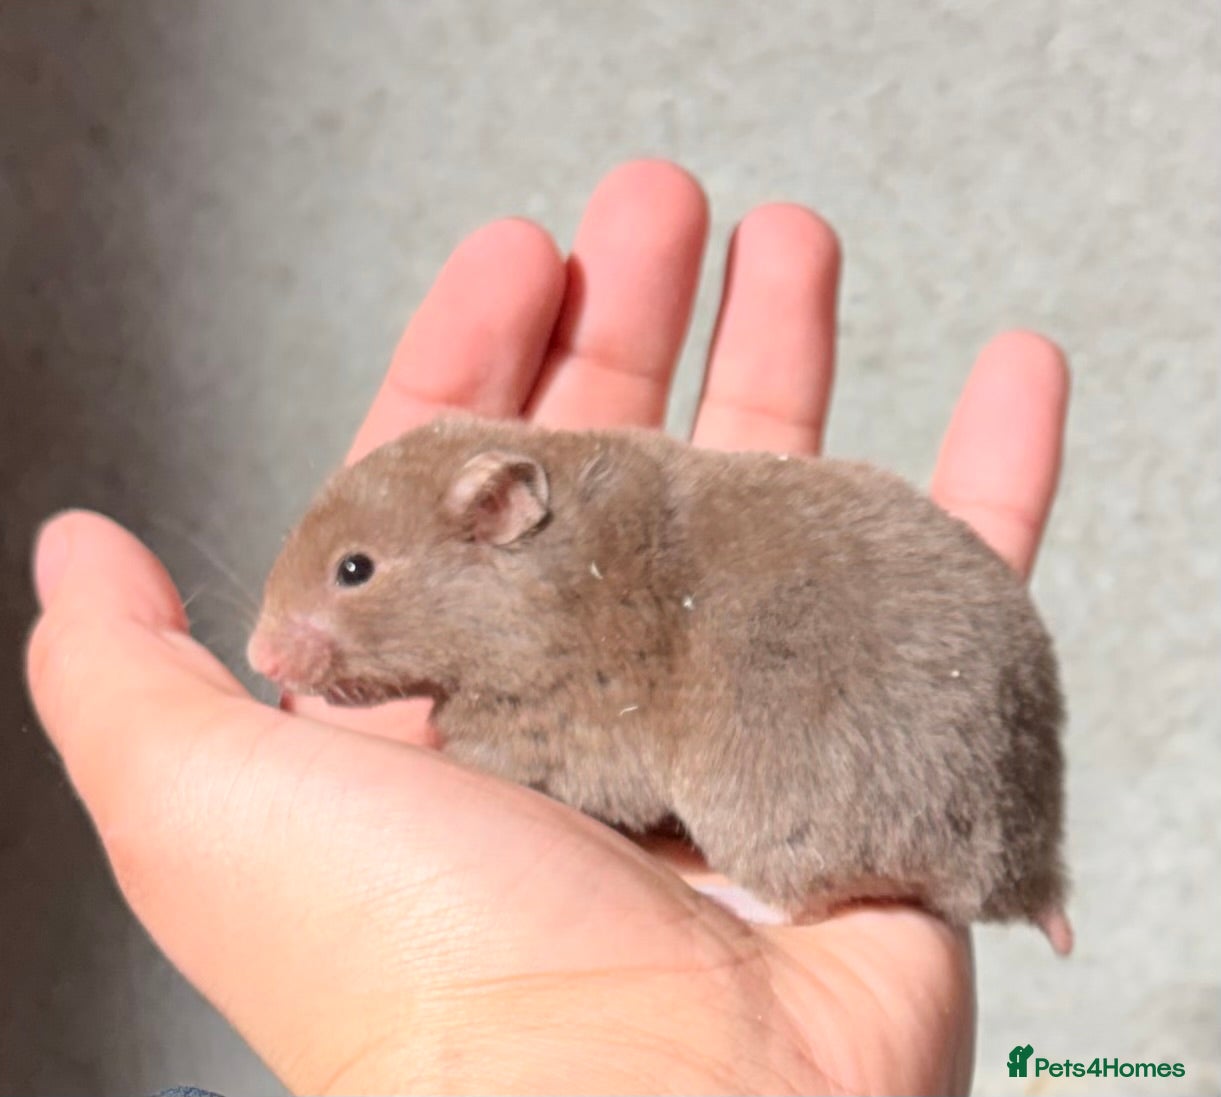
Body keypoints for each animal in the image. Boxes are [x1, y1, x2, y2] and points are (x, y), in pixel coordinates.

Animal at [248, 414, 1072, 954]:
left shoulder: (553, 729)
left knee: (800, 898)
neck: (535, 584)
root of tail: (1028, 864)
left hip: (769, 811)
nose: (257, 657)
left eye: (354, 568)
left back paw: (719, 890)